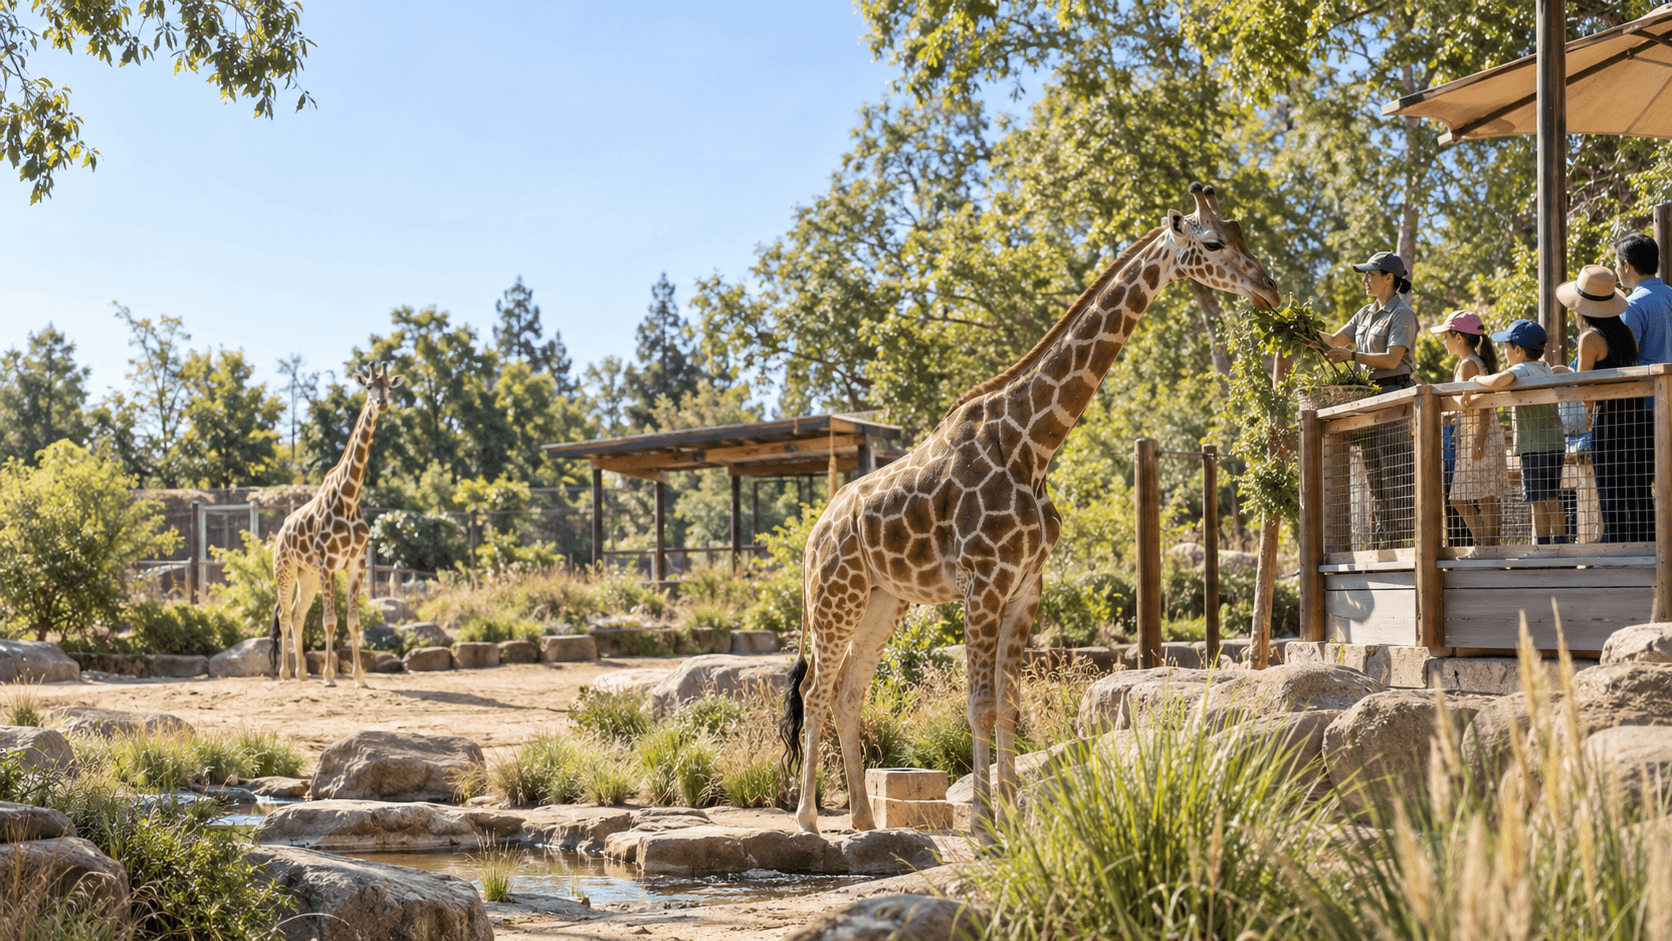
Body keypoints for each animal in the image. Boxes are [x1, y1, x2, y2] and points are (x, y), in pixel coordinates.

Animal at [268, 363, 405, 687]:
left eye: (389, 386)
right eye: (368, 386)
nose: (381, 403)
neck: (350, 497)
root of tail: (279, 533)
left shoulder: (355, 565)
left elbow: (353, 623)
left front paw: (359, 677)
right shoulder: (329, 564)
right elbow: (329, 622)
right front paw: (330, 676)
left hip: (308, 576)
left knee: (297, 615)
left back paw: (301, 672)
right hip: (285, 570)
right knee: (283, 615)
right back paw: (284, 673)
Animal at [779, 183, 1282, 837]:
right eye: (1215, 242)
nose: (1269, 288)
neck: (1033, 445)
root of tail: (815, 532)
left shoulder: (1025, 587)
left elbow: (1011, 706)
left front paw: (1012, 819)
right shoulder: (984, 583)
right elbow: (980, 704)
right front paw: (981, 823)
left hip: (884, 601)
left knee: (847, 691)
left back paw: (864, 818)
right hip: (834, 596)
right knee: (816, 689)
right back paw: (809, 819)